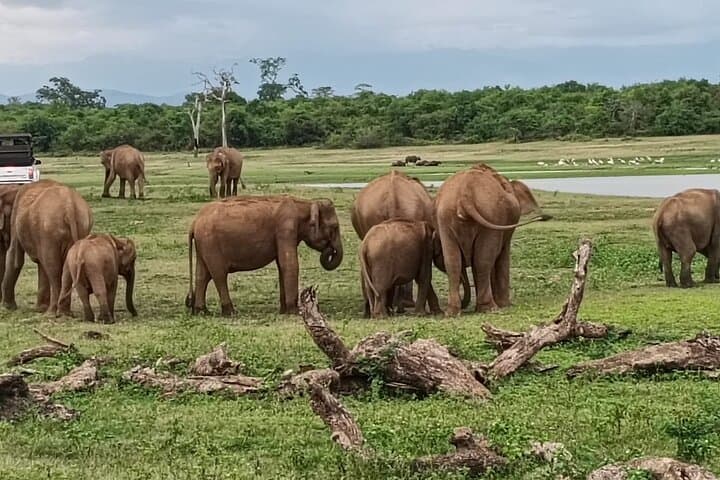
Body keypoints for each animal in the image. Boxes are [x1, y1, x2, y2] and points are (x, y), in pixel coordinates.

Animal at [2, 180, 93, 315]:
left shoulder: (15, 218)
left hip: (49, 230)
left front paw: (7, 307)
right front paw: (40, 309)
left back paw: (51, 313)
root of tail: (70, 205)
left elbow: (15, 259)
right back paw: (64, 313)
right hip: (82, 227)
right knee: (65, 267)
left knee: (53, 268)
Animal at [186, 195, 343, 316]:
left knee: (202, 275)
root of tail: (194, 222)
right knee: (218, 274)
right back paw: (230, 312)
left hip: (203, 244)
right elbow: (289, 264)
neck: (305, 203)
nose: (330, 249)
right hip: (210, 243)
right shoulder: (286, 229)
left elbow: (281, 265)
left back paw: (202, 312)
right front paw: (294, 312)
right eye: (334, 227)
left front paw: (284, 311)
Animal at [434, 164, 550, 315]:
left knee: (453, 261)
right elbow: (501, 255)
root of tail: (465, 196)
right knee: (483, 260)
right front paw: (505, 305)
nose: (545, 216)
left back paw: (452, 312)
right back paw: (490, 308)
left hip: (445, 217)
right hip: (491, 214)